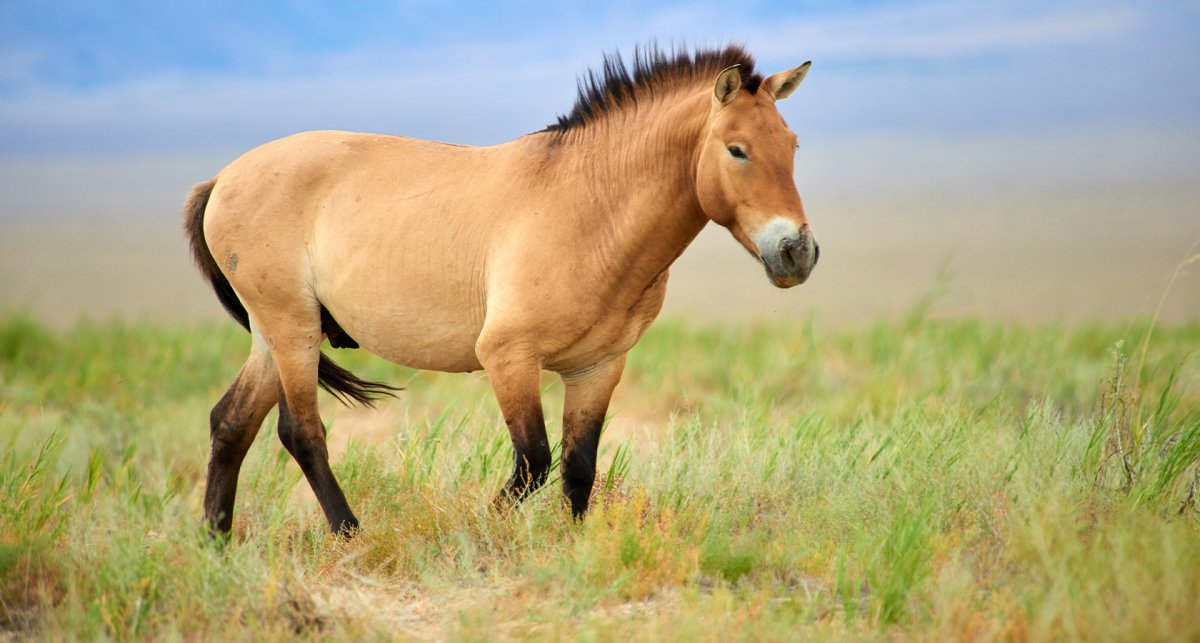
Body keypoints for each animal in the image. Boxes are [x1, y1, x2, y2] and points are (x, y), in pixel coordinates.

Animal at [184, 44, 818, 536]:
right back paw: (349, 534)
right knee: (301, 431)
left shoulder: (597, 367)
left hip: (276, 335)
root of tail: (222, 178)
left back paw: (217, 541)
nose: (797, 252)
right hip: (292, 329)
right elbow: (534, 462)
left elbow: (578, 467)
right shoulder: (508, 358)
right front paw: (478, 532)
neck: (589, 207)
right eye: (736, 149)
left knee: (230, 423)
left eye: (792, 145)